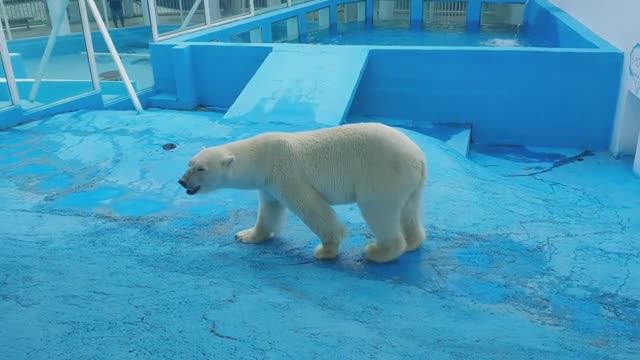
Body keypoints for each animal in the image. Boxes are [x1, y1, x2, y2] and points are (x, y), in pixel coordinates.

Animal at [178, 122, 428, 262]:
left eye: (201, 169)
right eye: (189, 163)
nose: (181, 181)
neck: (260, 156)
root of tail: (419, 157)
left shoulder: (285, 172)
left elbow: (312, 208)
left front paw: (326, 250)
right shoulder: (268, 184)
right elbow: (269, 211)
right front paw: (246, 235)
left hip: (382, 175)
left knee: (378, 210)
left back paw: (379, 252)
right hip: (409, 183)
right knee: (409, 210)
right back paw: (413, 241)